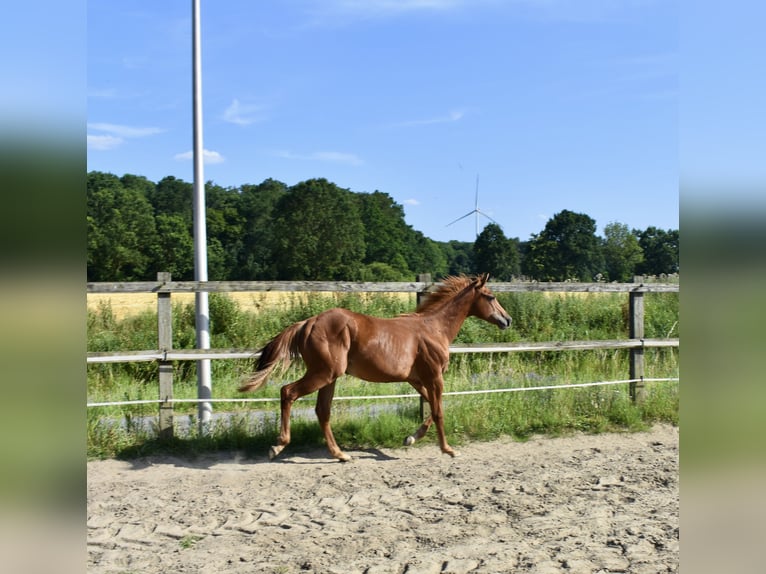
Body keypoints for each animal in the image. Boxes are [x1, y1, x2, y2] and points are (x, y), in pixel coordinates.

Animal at [239, 273, 511, 462]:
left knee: (322, 411)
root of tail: (308, 322)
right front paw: (448, 449)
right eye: (491, 296)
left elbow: (431, 407)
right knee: (288, 392)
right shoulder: (435, 376)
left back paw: (340, 455)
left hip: (330, 377)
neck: (434, 329)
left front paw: (410, 438)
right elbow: (438, 411)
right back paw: (278, 446)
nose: (507, 320)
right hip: (323, 373)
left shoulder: (416, 379)